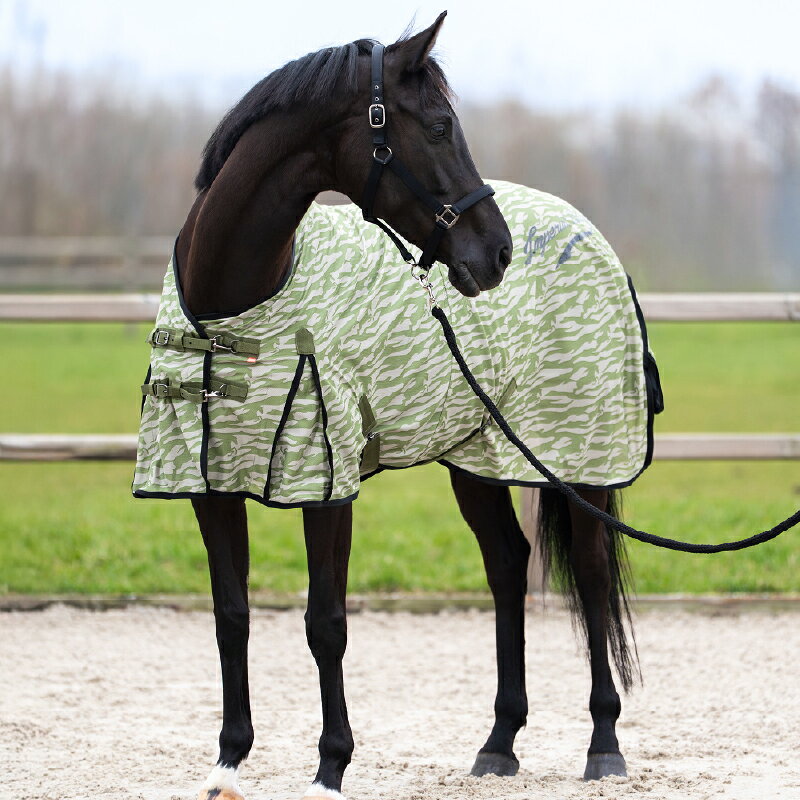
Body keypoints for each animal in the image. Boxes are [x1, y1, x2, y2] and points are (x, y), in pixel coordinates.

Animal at [134, 13, 651, 800]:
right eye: (438, 127)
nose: (497, 253)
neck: (235, 302)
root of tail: (589, 236)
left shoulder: (324, 479)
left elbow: (326, 623)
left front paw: (330, 766)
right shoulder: (208, 482)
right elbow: (231, 614)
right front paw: (228, 760)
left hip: (578, 456)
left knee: (589, 577)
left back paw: (603, 746)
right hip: (478, 455)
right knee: (508, 564)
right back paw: (498, 745)